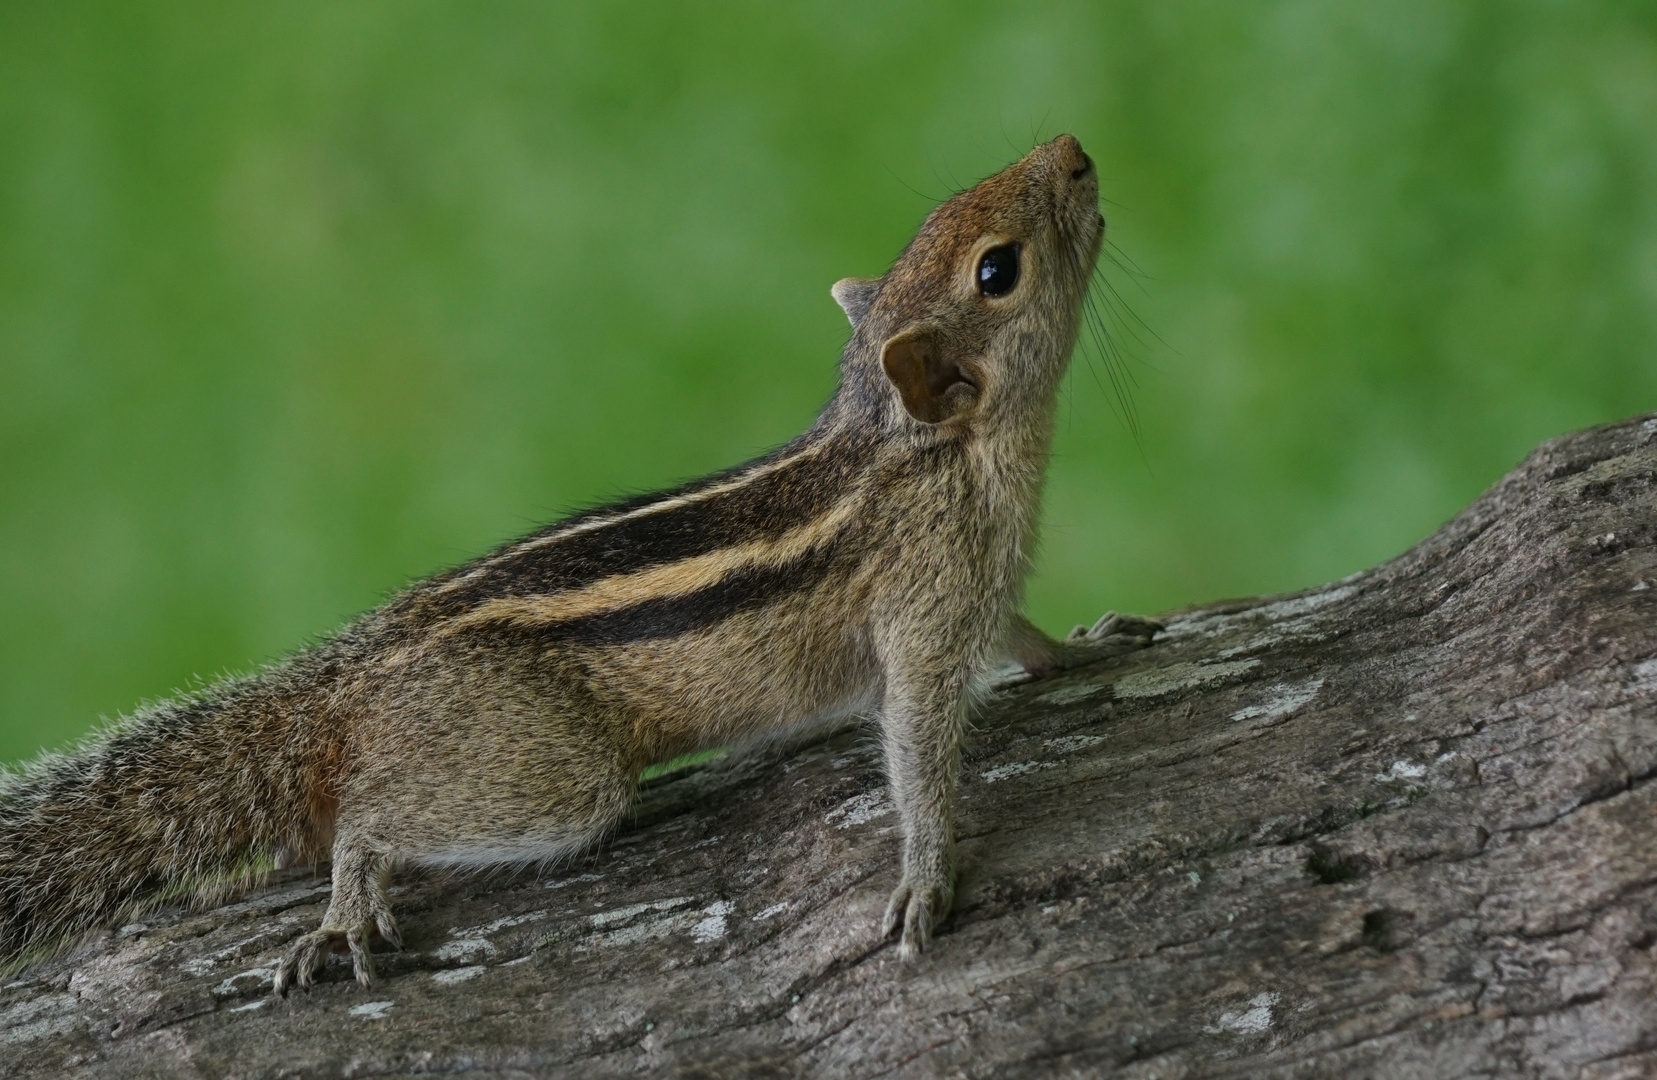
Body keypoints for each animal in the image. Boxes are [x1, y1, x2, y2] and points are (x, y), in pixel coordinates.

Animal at [0, 137, 1159, 993]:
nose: (1069, 151)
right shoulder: (926, 608)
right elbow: (918, 748)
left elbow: (1026, 640)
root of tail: (347, 675)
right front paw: (927, 878)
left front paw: (1093, 643)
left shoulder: (981, 592)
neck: (925, 449)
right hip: (554, 773)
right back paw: (350, 902)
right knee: (370, 818)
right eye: (998, 269)